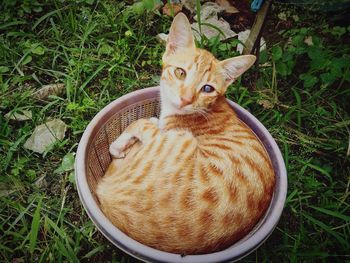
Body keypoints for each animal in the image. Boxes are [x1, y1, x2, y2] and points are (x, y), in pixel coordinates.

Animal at [96, 12, 276, 256]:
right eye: (180, 72)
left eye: (208, 88)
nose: (186, 99)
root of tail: (105, 194)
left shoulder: (164, 135)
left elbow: (139, 123)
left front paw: (117, 146)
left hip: (179, 141)